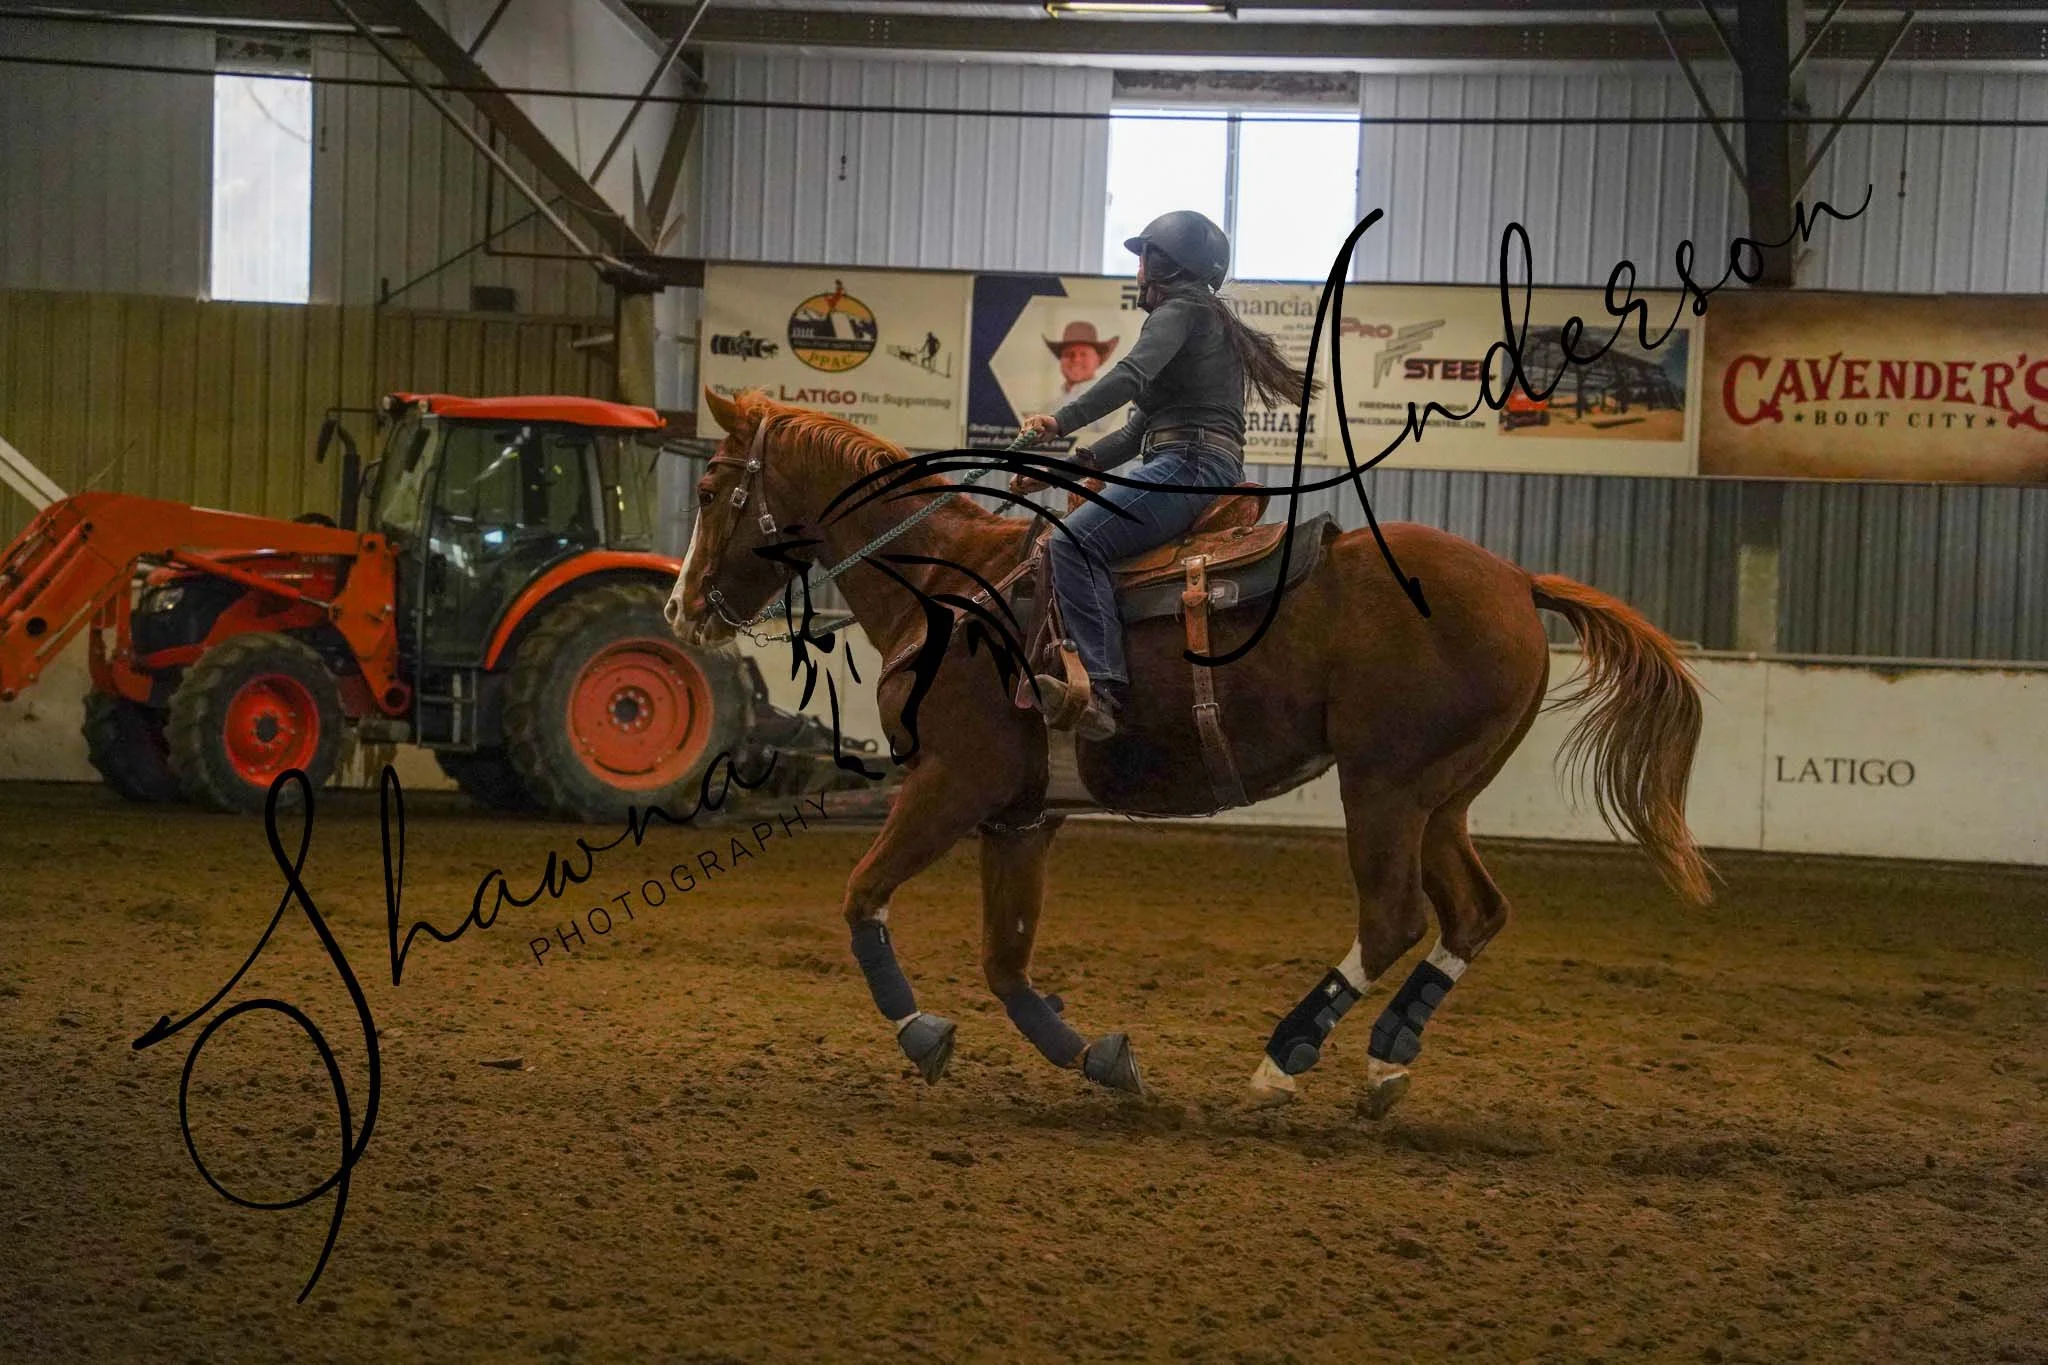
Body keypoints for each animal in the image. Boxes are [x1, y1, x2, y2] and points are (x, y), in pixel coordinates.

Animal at [667, 387, 1712, 1116]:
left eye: (712, 489)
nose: (680, 608)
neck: (954, 586)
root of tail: (1517, 580)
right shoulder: (1019, 818)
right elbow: (1007, 961)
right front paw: (1099, 1058)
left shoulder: (950, 786)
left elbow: (863, 896)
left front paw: (922, 1034)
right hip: (1441, 799)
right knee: (1473, 914)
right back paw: (1384, 1062)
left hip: (1386, 789)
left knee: (1393, 916)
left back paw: (1283, 1060)